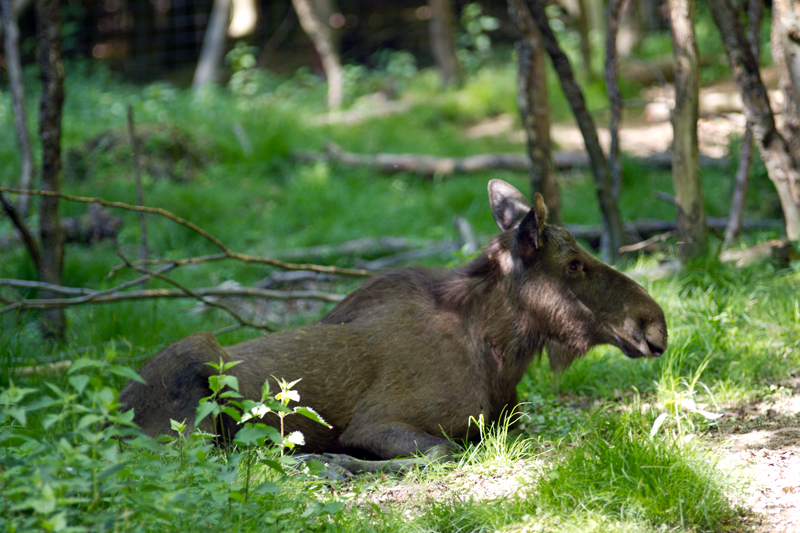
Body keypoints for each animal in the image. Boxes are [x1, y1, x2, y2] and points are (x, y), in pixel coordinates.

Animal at [120, 181, 668, 472]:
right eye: (574, 263)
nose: (655, 322)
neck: (498, 357)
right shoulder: (379, 423)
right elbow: (442, 450)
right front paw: (343, 460)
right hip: (194, 381)